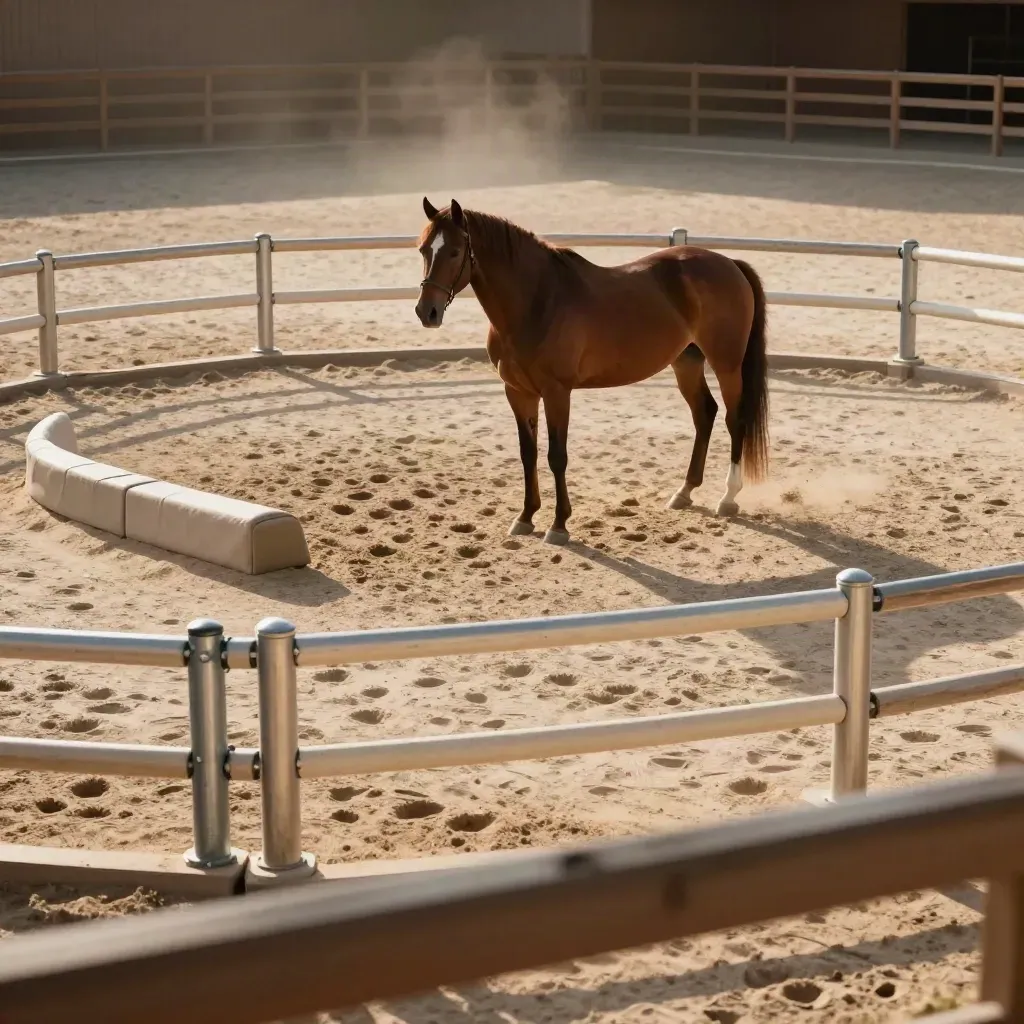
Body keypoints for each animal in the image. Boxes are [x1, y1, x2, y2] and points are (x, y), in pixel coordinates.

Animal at [413, 197, 770, 546]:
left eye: (455, 251)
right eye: (423, 249)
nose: (426, 312)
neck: (537, 302)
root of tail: (729, 263)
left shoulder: (557, 392)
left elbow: (556, 456)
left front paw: (558, 525)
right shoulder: (518, 391)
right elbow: (528, 453)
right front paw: (525, 517)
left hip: (727, 363)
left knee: (734, 419)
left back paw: (728, 498)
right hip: (687, 362)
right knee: (704, 413)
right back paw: (684, 492)